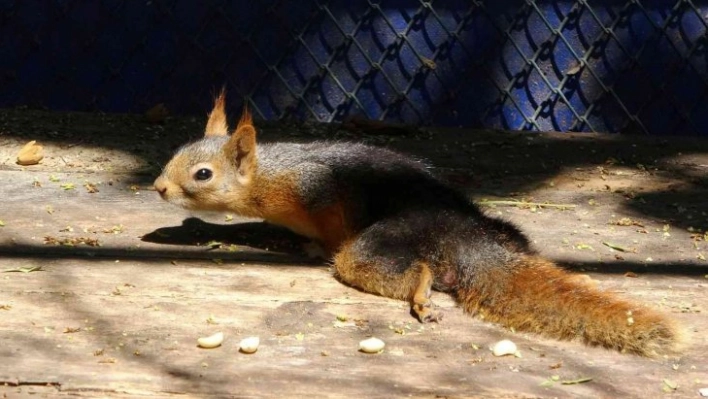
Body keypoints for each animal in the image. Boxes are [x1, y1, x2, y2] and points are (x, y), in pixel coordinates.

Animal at [153, 92, 680, 358]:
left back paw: (421, 293)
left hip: (380, 243)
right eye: (177, 154)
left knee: (406, 266)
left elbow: (328, 227)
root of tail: (462, 231)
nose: (158, 187)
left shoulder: (319, 193)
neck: (271, 178)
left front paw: (311, 246)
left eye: (203, 175)